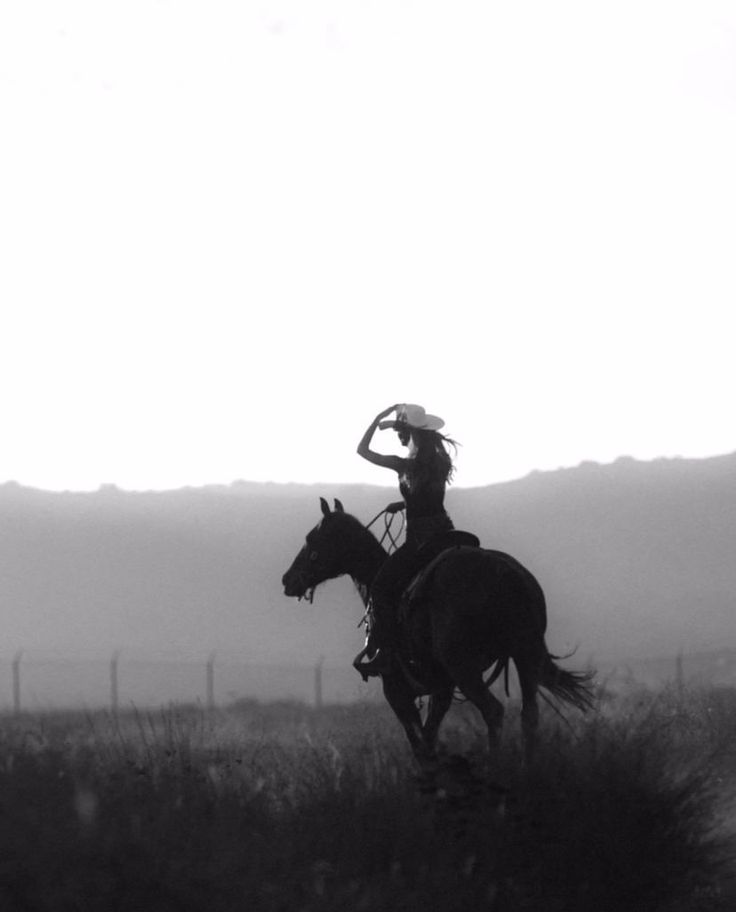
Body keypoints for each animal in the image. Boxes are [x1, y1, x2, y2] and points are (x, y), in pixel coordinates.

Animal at [280, 502, 592, 764]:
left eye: (312, 539)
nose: (287, 579)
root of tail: (508, 573)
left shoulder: (396, 689)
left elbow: (420, 744)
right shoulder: (441, 688)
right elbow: (429, 738)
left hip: (465, 668)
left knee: (493, 711)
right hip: (526, 656)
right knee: (530, 716)